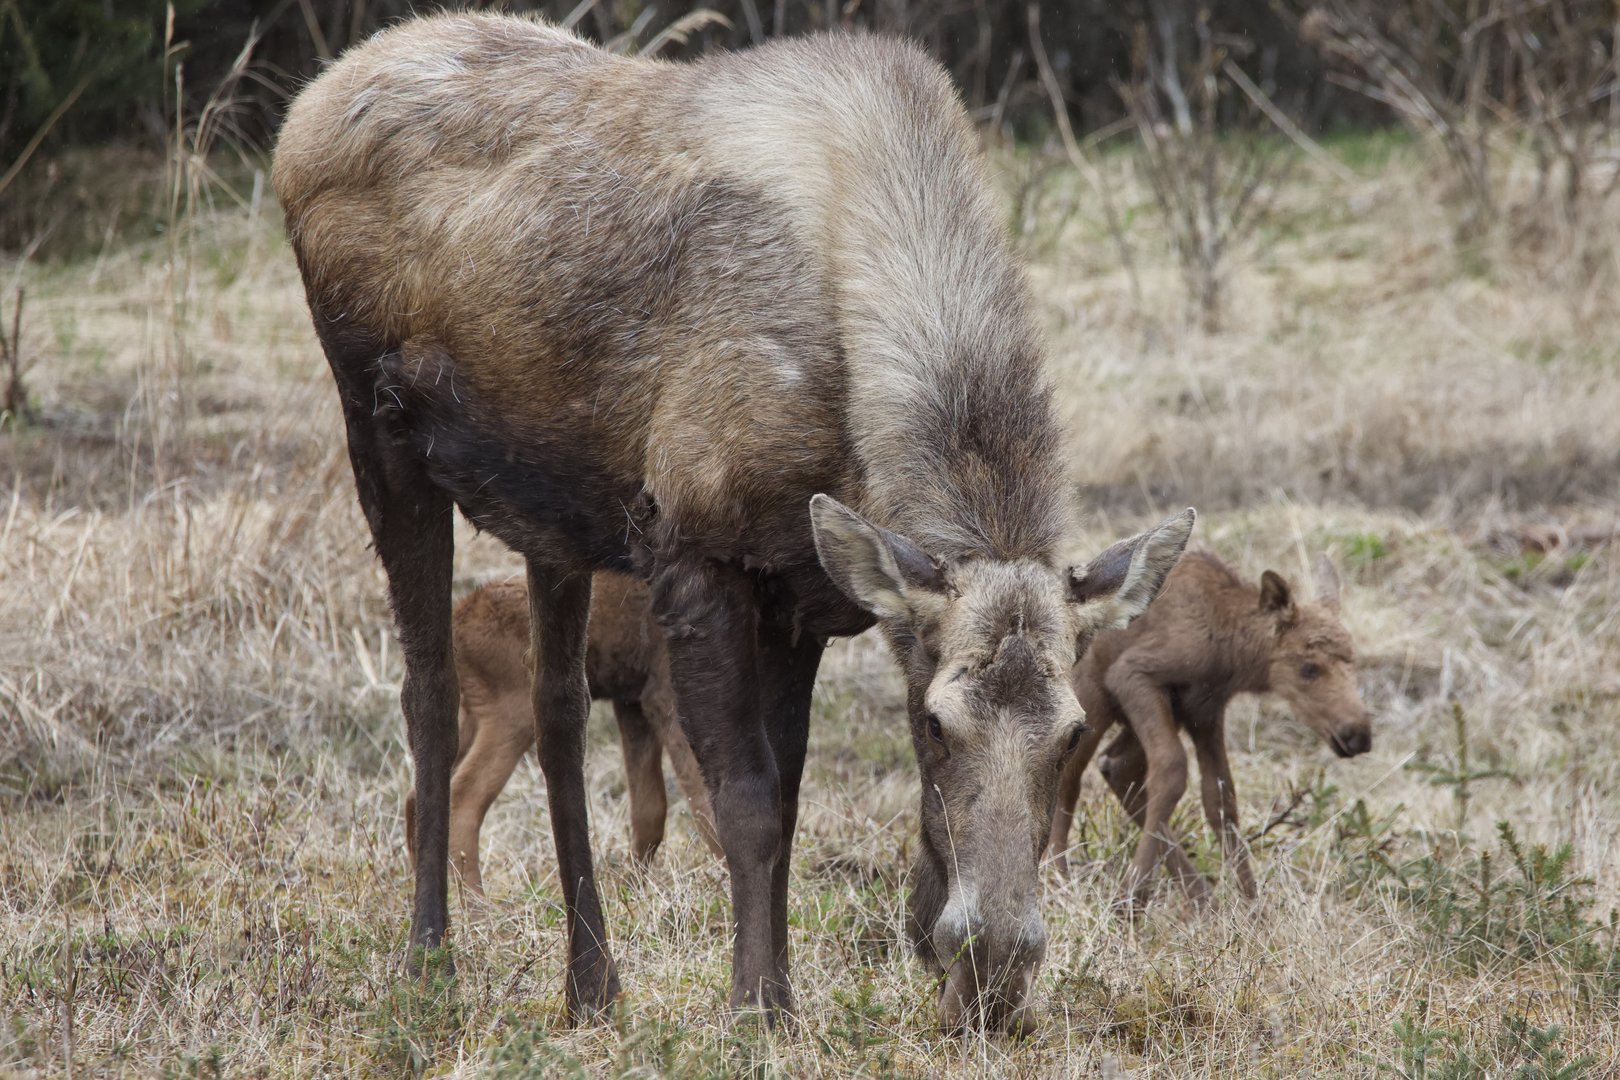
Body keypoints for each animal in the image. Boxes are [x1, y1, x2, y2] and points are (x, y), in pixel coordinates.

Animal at [403, 574, 721, 897]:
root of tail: (459, 627)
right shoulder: (662, 693)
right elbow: (704, 800)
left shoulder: (631, 701)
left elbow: (650, 810)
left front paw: (631, 890)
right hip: (513, 714)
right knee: (464, 799)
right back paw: (478, 906)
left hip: (469, 716)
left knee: (417, 795)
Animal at [1047, 551, 1371, 911]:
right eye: (1309, 667)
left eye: (1353, 661)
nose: (1358, 733)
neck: (1229, 648)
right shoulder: (1133, 675)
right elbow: (1173, 772)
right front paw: (1130, 894)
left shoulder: (1205, 713)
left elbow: (1221, 797)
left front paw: (1252, 904)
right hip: (1093, 697)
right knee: (1072, 775)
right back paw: (1058, 877)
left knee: (1117, 766)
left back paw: (1201, 897)